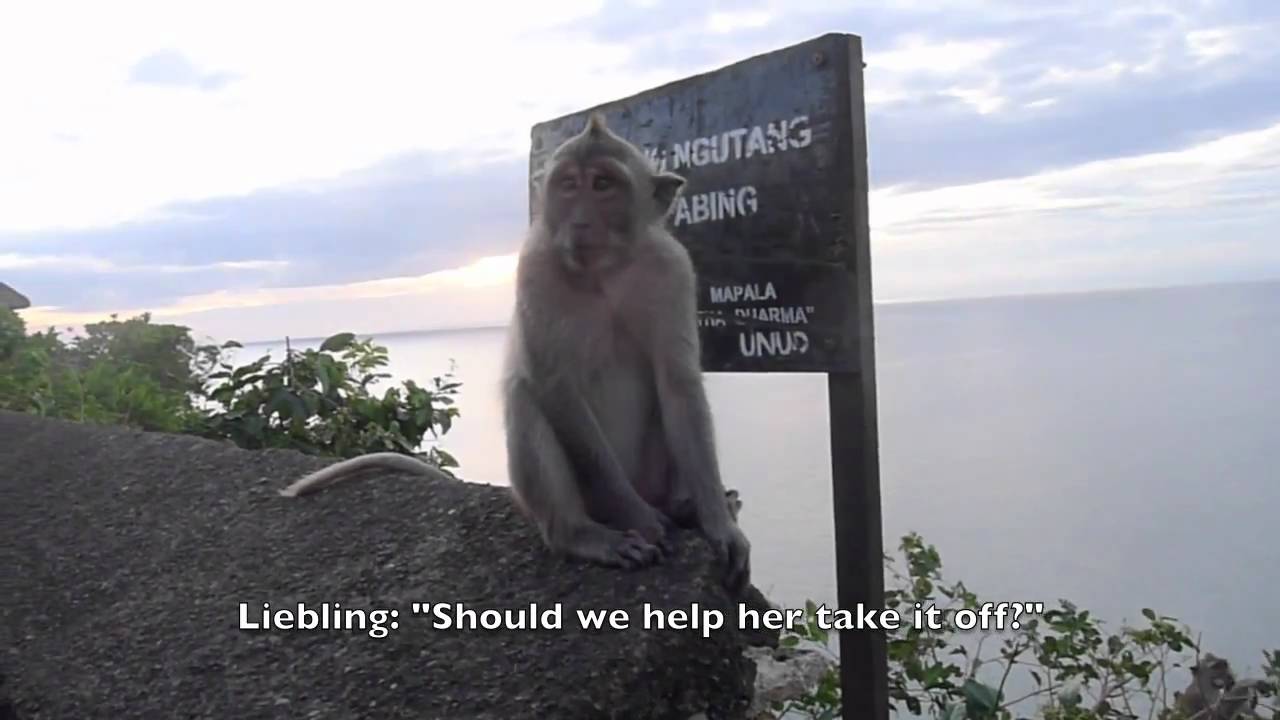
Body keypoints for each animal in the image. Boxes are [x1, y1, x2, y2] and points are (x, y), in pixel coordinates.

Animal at [500, 111, 750, 593]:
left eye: (602, 184)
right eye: (568, 184)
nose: (580, 223)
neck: (604, 271)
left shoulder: (673, 268)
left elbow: (678, 382)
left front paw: (717, 522)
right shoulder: (535, 267)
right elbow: (554, 385)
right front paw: (640, 520)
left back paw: (684, 506)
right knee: (524, 396)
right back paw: (582, 534)